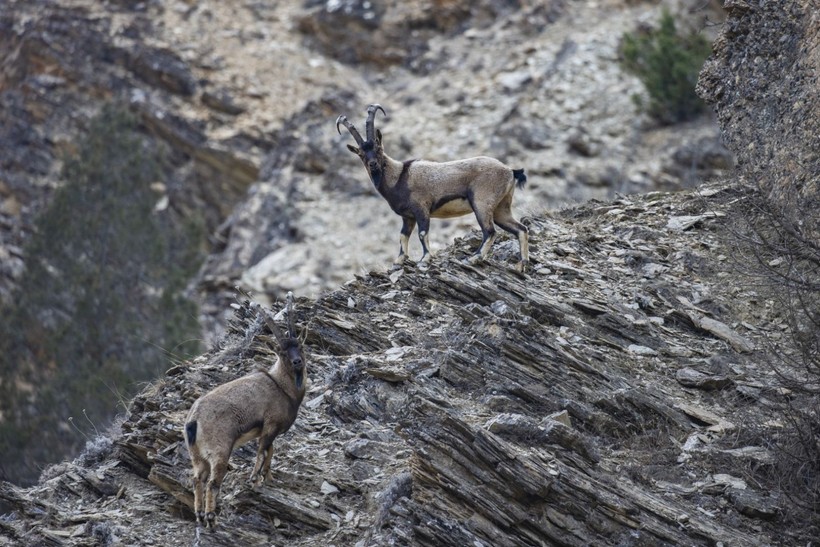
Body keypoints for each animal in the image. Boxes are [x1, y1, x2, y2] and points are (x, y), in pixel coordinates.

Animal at [183, 294, 304, 528]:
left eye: (300, 346)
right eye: (282, 351)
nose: (297, 361)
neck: (281, 387)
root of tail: (194, 420)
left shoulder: (270, 432)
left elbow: (270, 452)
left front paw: (269, 478)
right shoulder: (270, 425)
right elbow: (263, 452)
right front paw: (255, 479)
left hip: (197, 455)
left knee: (197, 479)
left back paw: (200, 515)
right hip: (220, 450)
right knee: (212, 483)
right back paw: (211, 518)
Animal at [338, 104, 532, 272]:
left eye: (378, 147)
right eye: (361, 154)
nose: (372, 164)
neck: (398, 176)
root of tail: (510, 171)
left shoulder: (421, 209)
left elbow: (422, 233)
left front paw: (425, 259)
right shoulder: (408, 217)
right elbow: (403, 236)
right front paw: (398, 261)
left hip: (482, 203)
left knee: (490, 231)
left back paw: (474, 258)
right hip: (501, 208)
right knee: (521, 229)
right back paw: (521, 265)